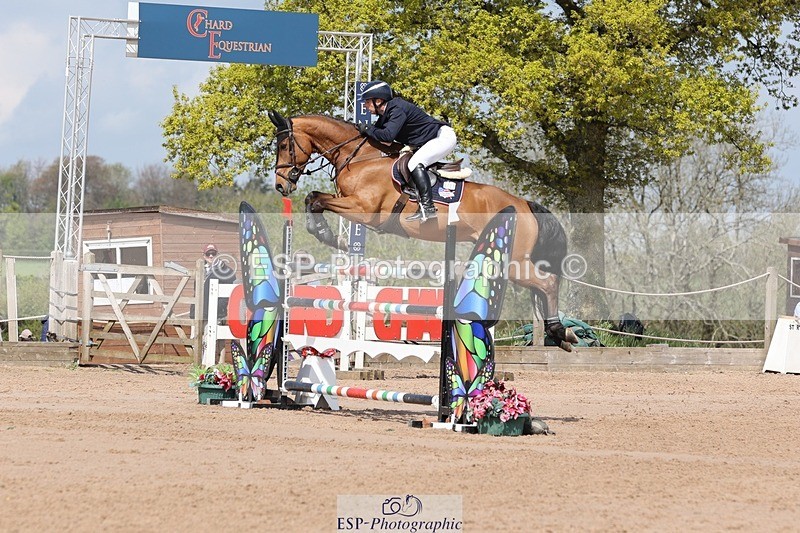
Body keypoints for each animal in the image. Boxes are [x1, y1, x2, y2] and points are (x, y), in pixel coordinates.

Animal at [267, 111, 579, 351]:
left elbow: (317, 199)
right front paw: (326, 233)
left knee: (548, 282)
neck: (361, 158)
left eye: (283, 145)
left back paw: (560, 331)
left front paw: (327, 235)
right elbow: (314, 199)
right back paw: (557, 334)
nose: (281, 185)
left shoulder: (364, 209)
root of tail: (523, 203)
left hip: (514, 261)